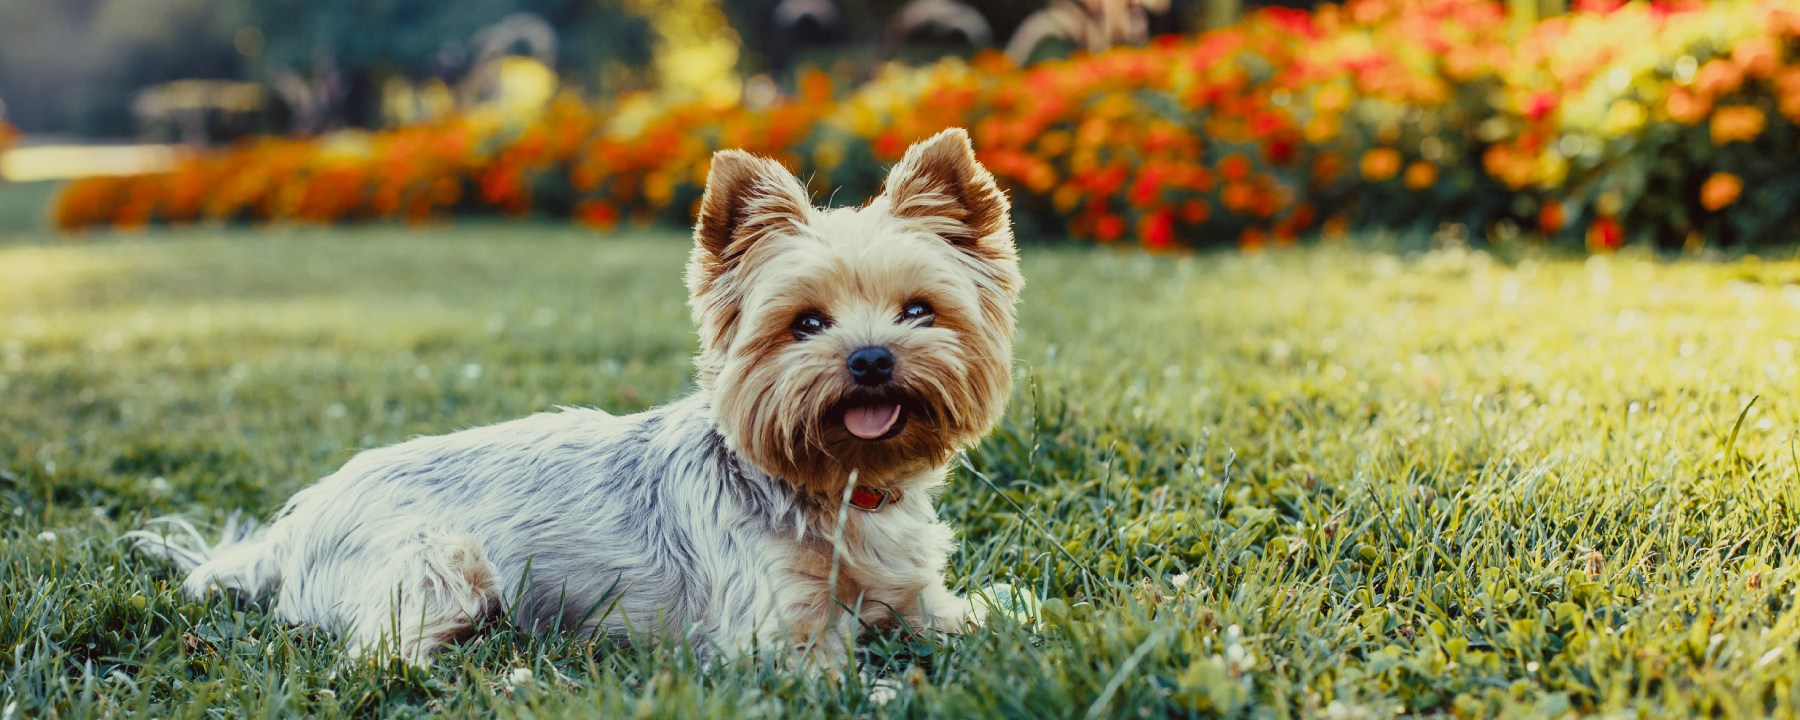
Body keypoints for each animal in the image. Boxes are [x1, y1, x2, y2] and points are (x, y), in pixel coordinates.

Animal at [126, 126, 1022, 666]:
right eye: (805, 323)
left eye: (919, 310)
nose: (870, 359)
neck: (838, 487)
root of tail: (291, 525)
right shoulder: (773, 635)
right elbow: (837, 666)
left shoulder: (918, 596)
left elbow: (975, 614)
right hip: (442, 563)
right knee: (379, 654)